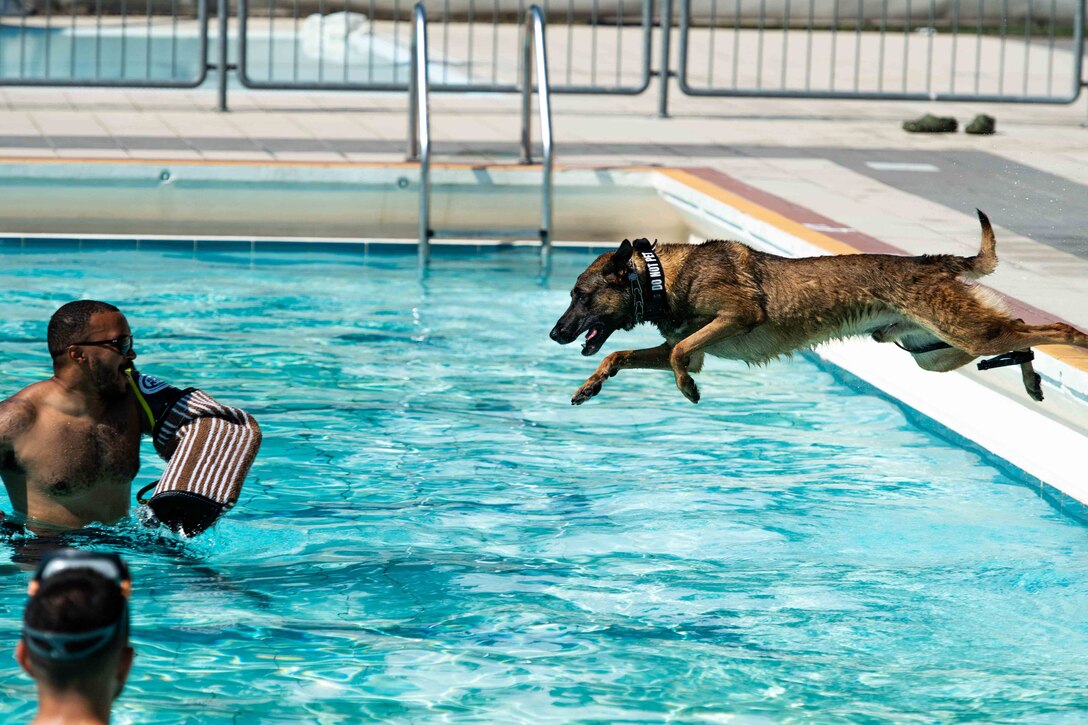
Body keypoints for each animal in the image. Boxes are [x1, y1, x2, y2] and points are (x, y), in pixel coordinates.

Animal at [552, 209, 1088, 402]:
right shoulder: (683, 347)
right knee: (1020, 337)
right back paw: (1033, 381)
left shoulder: (738, 316)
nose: (555, 334)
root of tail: (930, 261)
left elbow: (683, 353)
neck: (660, 276)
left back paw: (1074, 343)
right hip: (936, 352)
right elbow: (619, 354)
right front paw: (589, 386)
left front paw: (686, 388)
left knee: (1053, 329)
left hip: (964, 333)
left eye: (580, 295)